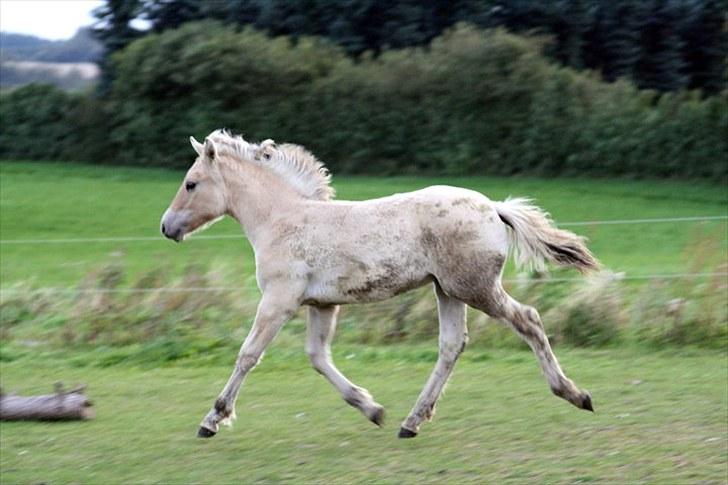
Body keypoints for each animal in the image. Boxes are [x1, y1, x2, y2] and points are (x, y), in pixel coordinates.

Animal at [161, 129, 596, 438]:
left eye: (191, 183)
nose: (166, 227)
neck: (281, 219)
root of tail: (493, 206)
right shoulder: (322, 304)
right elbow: (318, 357)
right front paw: (372, 408)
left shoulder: (279, 299)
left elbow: (249, 354)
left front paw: (213, 418)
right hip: (447, 291)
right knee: (451, 346)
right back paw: (412, 421)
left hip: (476, 288)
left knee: (528, 319)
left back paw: (575, 394)